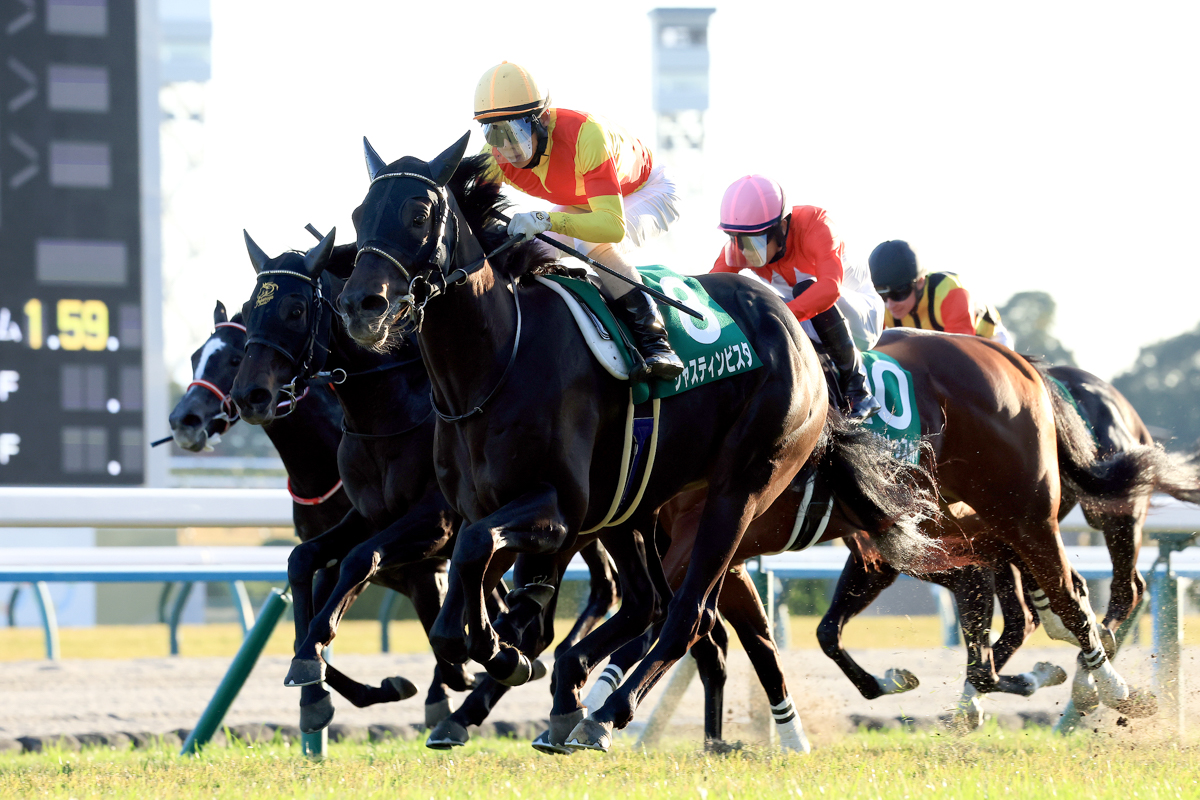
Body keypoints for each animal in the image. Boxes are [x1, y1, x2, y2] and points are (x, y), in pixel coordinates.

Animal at [227, 230, 620, 744]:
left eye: (294, 309)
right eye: (250, 308)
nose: (248, 395)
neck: (387, 411)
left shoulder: (434, 524)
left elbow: (360, 560)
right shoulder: (368, 516)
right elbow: (303, 559)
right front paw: (314, 676)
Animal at [336, 136, 940, 752]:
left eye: (418, 215)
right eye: (359, 217)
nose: (360, 306)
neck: (493, 364)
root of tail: (794, 327)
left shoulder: (558, 510)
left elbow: (477, 560)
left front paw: (507, 658)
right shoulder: (486, 510)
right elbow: (460, 598)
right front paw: (500, 656)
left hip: (739, 491)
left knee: (688, 613)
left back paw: (607, 711)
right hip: (631, 506)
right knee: (653, 600)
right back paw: (580, 698)